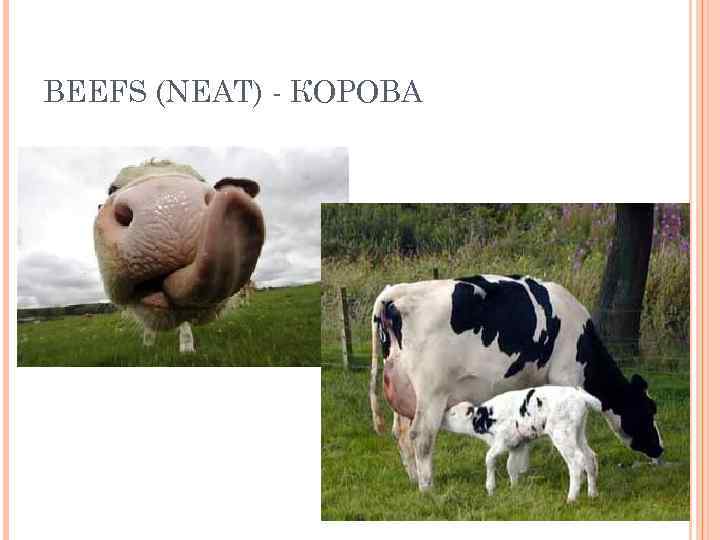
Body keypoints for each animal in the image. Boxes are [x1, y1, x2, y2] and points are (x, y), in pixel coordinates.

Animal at [442, 386, 602, 502]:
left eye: (453, 413)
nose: (442, 418)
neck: (486, 418)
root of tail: (579, 395)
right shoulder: (516, 444)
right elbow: (511, 467)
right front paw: (514, 489)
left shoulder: (503, 440)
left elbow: (489, 459)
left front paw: (490, 488)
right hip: (578, 433)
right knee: (590, 456)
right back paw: (592, 494)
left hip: (562, 434)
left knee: (576, 461)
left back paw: (571, 498)